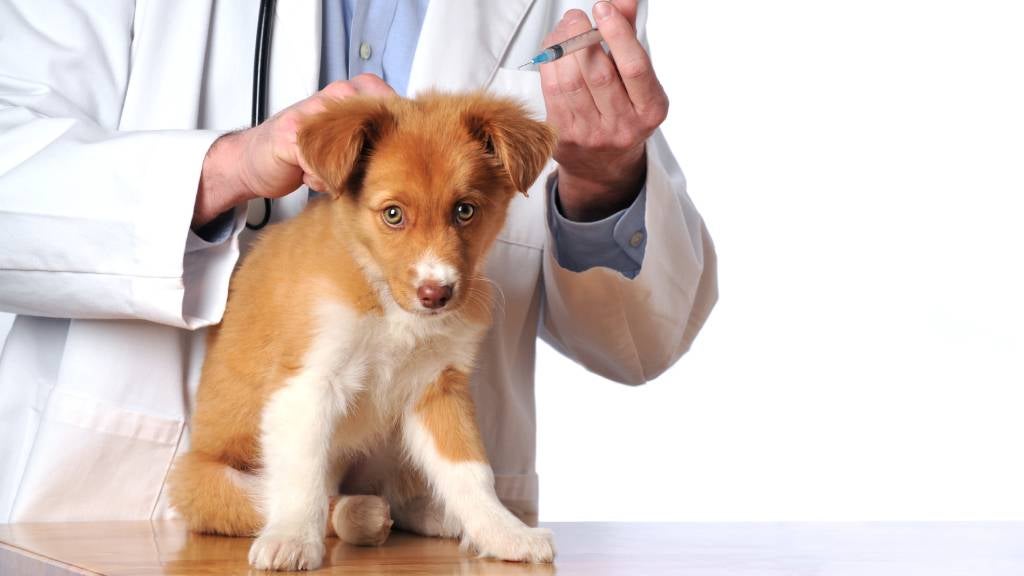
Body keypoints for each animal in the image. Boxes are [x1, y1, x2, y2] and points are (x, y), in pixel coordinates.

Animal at [168, 91, 557, 565]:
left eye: (465, 211)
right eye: (393, 214)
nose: (436, 294)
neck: (386, 298)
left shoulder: (438, 386)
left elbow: (469, 468)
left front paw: (503, 532)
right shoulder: (309, 381)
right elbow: (303, 475)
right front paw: (293, 538)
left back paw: (434, 514)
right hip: (202, 479)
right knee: (292, 498)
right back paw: (360, 513)